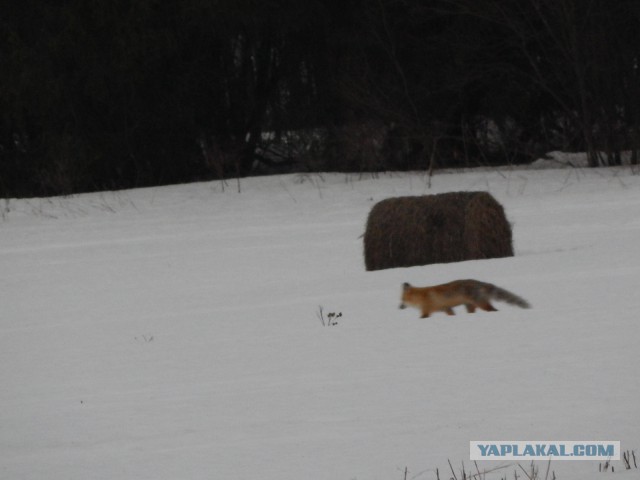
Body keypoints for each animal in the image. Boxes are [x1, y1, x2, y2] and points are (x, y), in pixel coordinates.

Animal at [400, 278, 528, 318]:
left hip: (482, 305)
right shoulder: (447, 309)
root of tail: (482, 283)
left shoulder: (426, 311)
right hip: (470, 306)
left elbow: (422, 317)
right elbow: (452, 315)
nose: (399, 307)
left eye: (402, 300)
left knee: (494, 310)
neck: (421, 296)